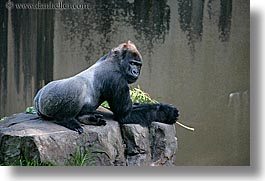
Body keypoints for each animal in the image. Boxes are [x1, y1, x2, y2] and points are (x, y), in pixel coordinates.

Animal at [32, 41, 177, 134]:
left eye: (138, 65)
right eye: (132, 63)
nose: (136, 72)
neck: (115, 61)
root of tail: (37, 98)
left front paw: (164, 107)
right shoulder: (117, 79)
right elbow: (125, 115)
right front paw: (166, 112)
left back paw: (89, 119)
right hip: (47, 100)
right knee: (77, 87)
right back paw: (67, 120)